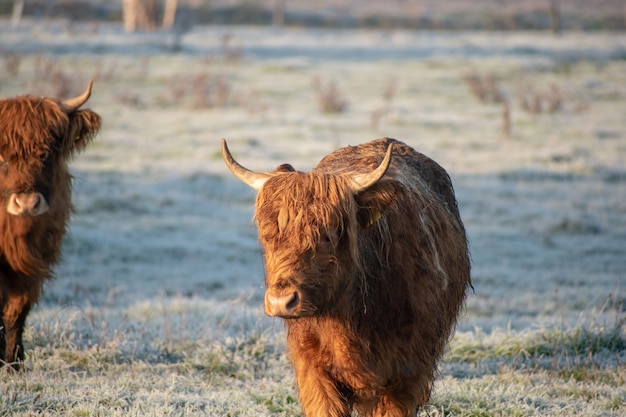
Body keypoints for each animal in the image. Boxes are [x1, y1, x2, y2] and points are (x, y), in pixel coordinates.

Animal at [0, 81, 100, 370]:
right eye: (1, 155)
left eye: (46, 153)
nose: (26, 203)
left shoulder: (34, 263)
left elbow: (16, 312)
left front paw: (14, 364)